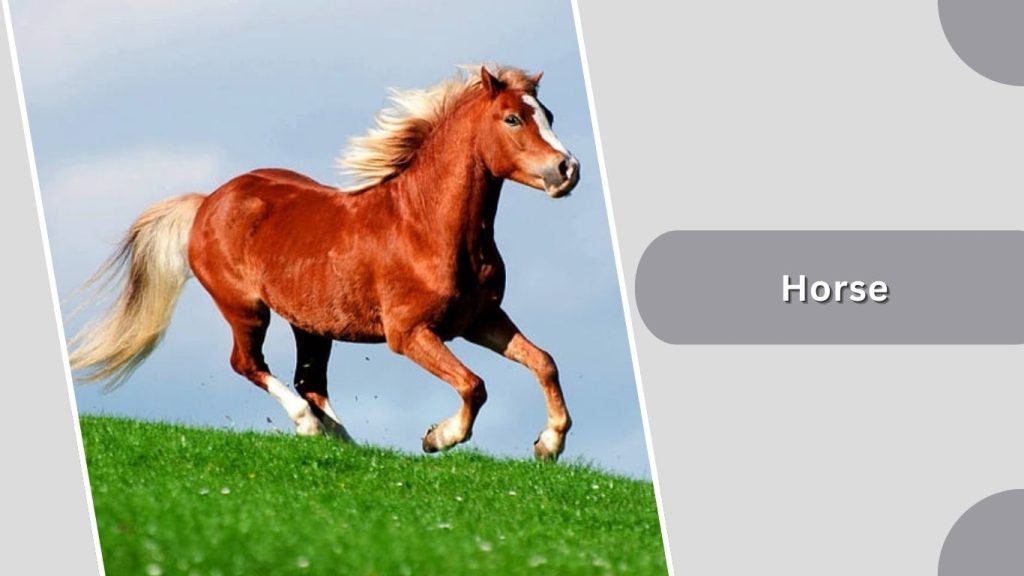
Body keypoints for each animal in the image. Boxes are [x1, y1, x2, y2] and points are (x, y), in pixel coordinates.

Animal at [68, 65, 579, 460]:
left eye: (549, 115)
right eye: (512, 118)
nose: (567, 169)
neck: (428, 227)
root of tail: (207, 202)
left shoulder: (480, 320)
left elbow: (545, 362)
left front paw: (548, 444)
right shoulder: (410, 333)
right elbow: (475, 384)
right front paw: (438, 437)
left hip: (312, 324)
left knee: (308, 380)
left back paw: (342, 437)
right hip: (245, 309)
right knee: (248, 364)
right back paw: (310, 426)